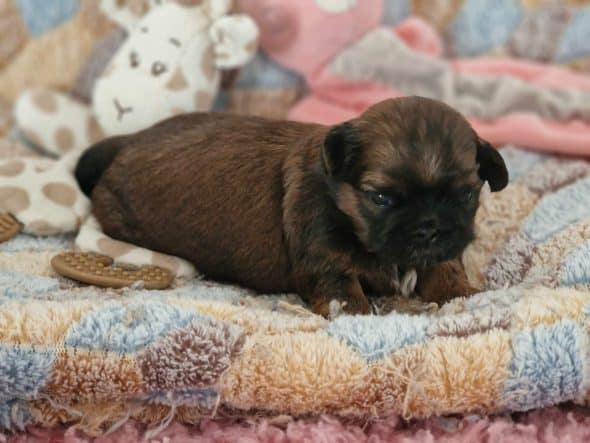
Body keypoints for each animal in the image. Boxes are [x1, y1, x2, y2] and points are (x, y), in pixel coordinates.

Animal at [75, 97, 508, 316]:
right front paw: (354, 311)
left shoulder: (438, 252)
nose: (430, 228)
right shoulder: (323, 258)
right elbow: (341, 289)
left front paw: (463, 293)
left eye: (465, 196)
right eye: (381, 198)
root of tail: (128, 141)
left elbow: (445, 268)